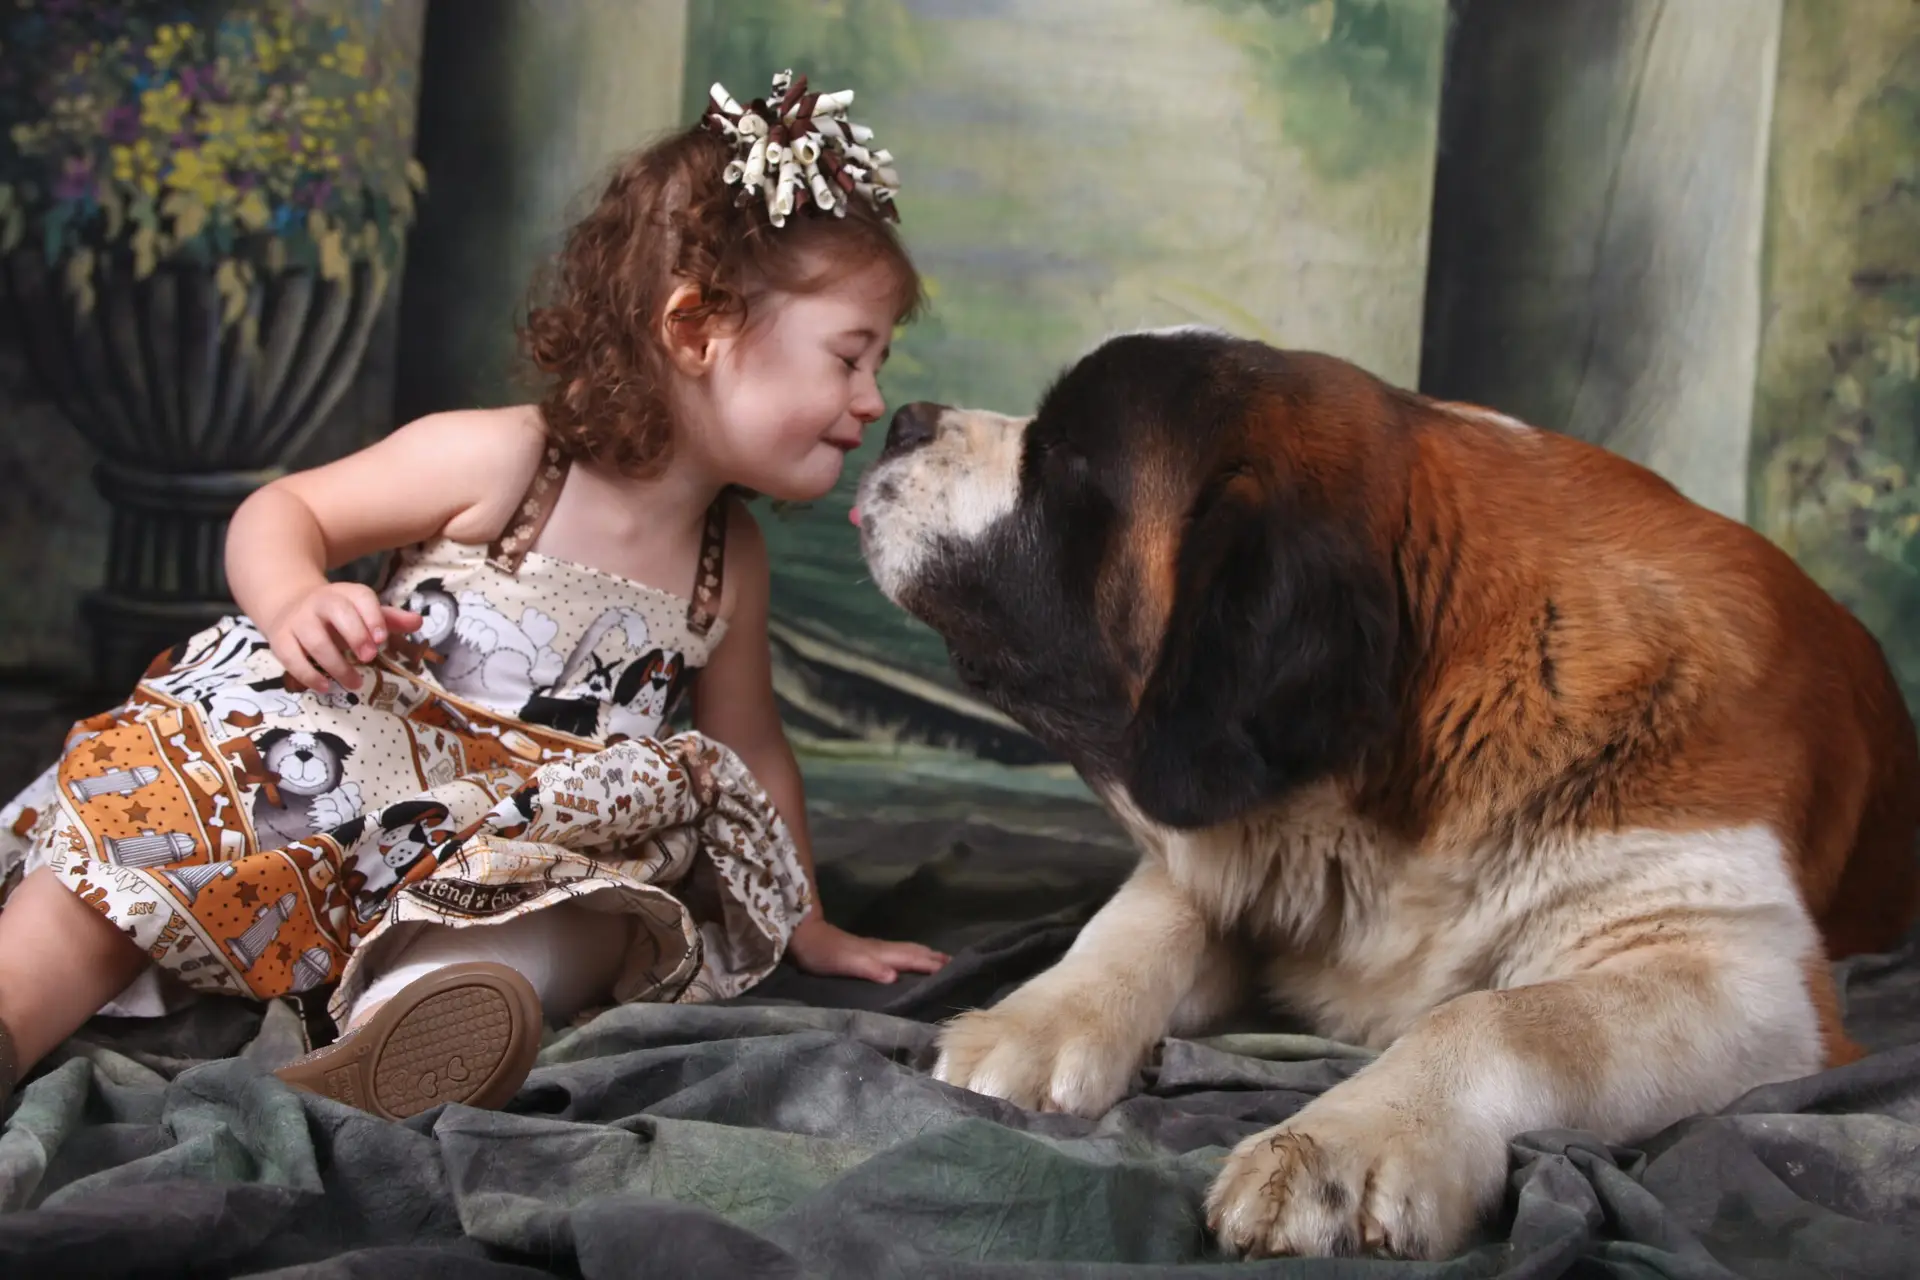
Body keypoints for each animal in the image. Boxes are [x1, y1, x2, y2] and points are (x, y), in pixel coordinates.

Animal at [856, 330, 1920, 1258]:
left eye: (1064, 456)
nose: (902, 418)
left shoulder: (1745, 974)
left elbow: (1497, 1015)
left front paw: (1348, 1142)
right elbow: (1141, 916)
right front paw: (1034, 1022)